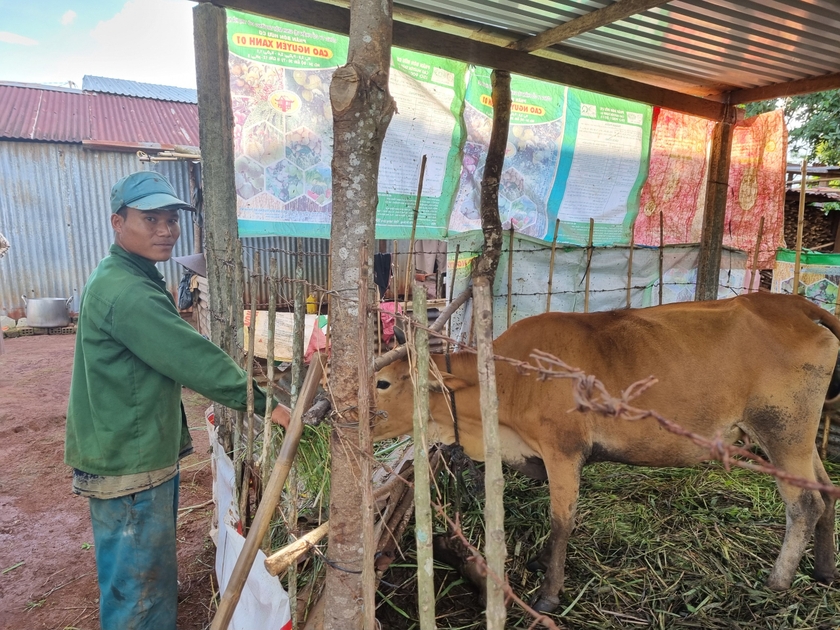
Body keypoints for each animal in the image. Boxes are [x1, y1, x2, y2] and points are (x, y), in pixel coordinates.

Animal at [374, 294, 840, 616]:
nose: (352, 411)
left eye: (382, 382)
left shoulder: (563, 450)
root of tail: (793, 304)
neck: (509, 378)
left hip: (782, 430)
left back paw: (777, 581)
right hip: (799, 437)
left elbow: (561, 521)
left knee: (804, 504)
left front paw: (548, 594)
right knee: (827, 491)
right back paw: (824, 570)